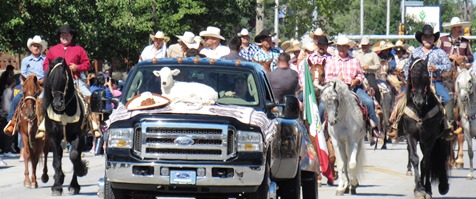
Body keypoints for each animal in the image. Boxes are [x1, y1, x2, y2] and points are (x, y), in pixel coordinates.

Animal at [43, 57, 88, 196]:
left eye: (64, 79)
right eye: (50, 80)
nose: (57, 104)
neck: (63, 112)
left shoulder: (77, 136)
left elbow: (74, 155)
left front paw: (81, 171)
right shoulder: (54, 138)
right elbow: (56, 162)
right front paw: (57, 186)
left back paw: (74, 184)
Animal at [400, 58, 452, 198]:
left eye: (426, 77)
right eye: (412, 77)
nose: (419, 101)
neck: (420, 111)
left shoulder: (430, 138)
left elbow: (425, 163)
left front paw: (426, 189)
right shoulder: (410, 136)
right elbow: (415, 159)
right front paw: (418, 189)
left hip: (439, 139)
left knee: (439, 158)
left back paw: (440, 186)